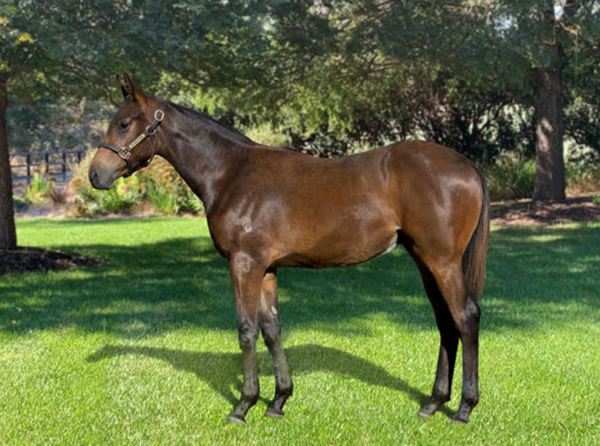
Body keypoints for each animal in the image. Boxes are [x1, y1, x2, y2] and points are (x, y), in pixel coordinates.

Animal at [90, 73, 492, 426]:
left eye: (123, 123)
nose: (95, 175)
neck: (232, 174)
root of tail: (468, 167)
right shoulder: (267, 268)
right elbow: (272, 329)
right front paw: (278, 400)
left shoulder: (244, 264)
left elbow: (247, 330)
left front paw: (243, 406)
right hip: (425, 260)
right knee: (446, 323)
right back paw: (433, 403)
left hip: (442, 261)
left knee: (466, 317)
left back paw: (464, 409)